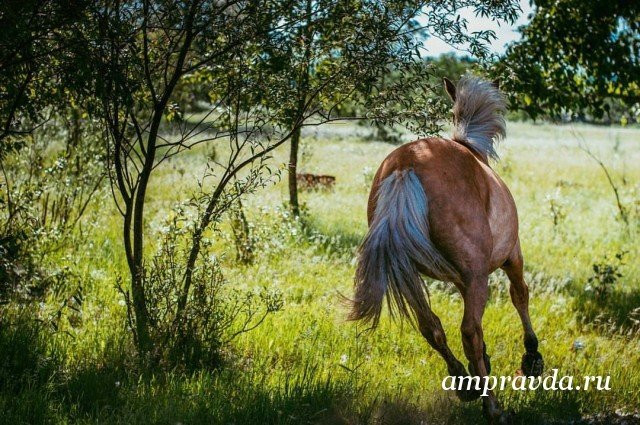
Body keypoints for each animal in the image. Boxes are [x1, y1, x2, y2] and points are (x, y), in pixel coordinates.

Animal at [349, 75, 544, 423]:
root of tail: (405, 166)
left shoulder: (461, 278)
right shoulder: (511, 257)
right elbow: (520, 296)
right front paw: (532, 357)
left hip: (407, 271)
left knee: (431, 326)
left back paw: (464, 383)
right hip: (479, 273)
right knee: (469, 331)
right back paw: (491, 405)